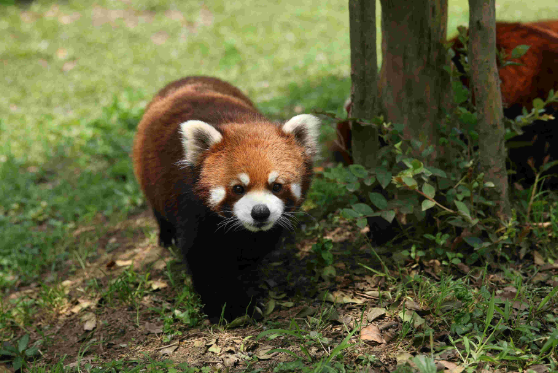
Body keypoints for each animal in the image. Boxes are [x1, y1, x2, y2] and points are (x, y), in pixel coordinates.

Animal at [132, 75, 324, 320]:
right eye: (238, 188)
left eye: (277, 186)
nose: (260, 212)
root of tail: (189, 78)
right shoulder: (192, 209)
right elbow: (205, 261)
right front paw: (229, 307)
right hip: (148, 177)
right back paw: (166, 237)